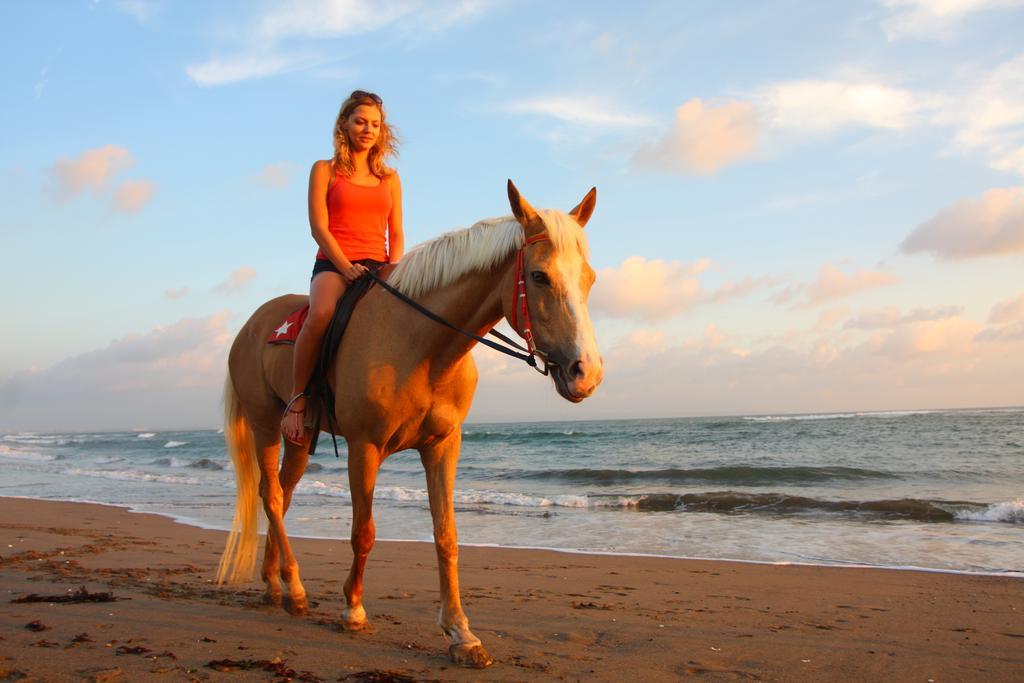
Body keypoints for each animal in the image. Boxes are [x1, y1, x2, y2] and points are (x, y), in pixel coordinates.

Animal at [215, 181, 598, 667]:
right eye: (539, 276)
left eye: (589, 279)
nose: (586, 372)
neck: (420, 345)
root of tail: (249, 327)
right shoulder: (365, 447)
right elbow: (364, 532)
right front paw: (353, 610)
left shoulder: (443, 445)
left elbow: (446, 536)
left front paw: (461, 632)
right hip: (266, 425)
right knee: (271, 494)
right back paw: (296, 588)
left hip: (299, 437)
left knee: (280, 497)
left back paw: (276, 584)